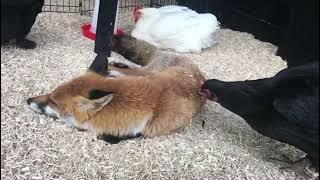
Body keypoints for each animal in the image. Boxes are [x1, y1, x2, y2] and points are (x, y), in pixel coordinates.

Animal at [27, 35, 205, 141]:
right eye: (50, 94)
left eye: (53, 102)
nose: (28, 100)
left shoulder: (141, 132)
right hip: (145, 71)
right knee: (128, 67)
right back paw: (115, 64)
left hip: (147, 71)